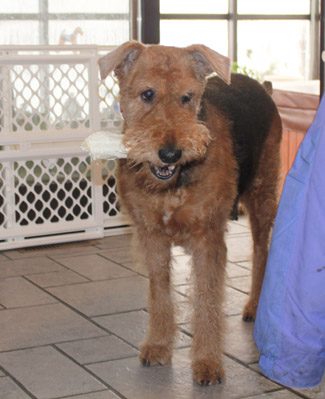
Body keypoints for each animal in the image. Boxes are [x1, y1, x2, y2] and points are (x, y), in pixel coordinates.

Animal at [98, 42, 280, 386]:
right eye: (147, 94)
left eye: (187, 97)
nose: (170, 153)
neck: (172, 184)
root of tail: (260, 87)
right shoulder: (152, 237)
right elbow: (159, 293)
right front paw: (158, 345)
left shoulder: (208, 240)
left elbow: (206, 301)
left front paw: (208, 363)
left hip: (263, 195)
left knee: (262, 251)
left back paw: (253, 305)